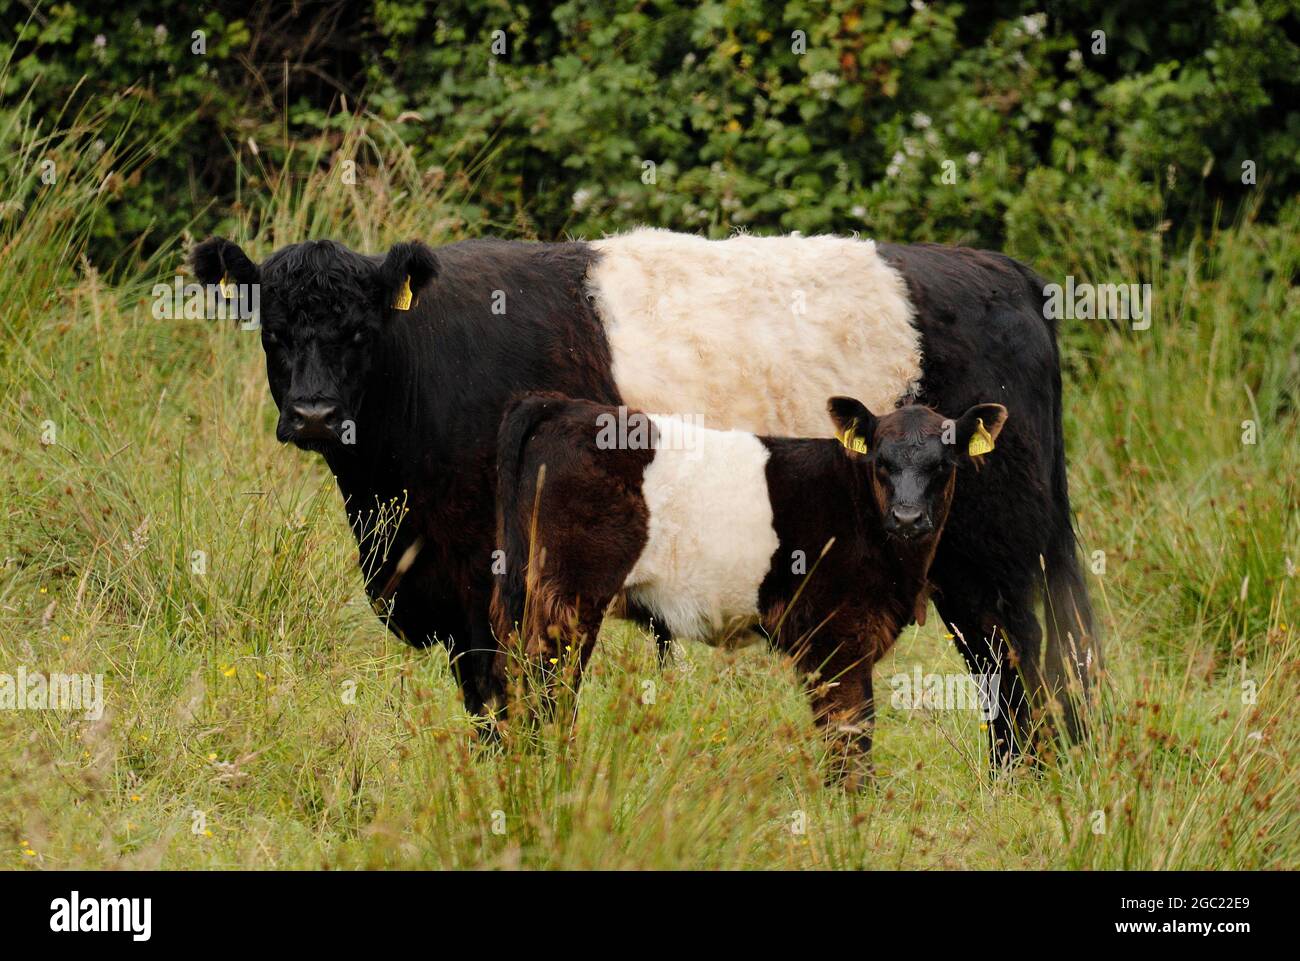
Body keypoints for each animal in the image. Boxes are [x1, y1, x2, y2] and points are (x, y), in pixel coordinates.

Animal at [490, 392, 1009, 783]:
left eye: (943, 465)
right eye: (881, 461)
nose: (907, 517)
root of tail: (560, 406)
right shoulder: (838, 633)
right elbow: (850, 727)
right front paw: (853, 807)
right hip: (568, 598)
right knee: (546, 684)